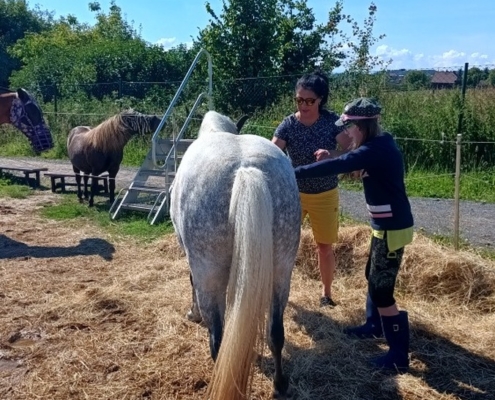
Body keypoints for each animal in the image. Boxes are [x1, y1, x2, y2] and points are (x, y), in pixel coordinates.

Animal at [170, 110, 302, 400]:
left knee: (218, 342)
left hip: (209, 275)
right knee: (276, 333)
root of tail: (246, 167)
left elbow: (190, 282)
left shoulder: (196, 266)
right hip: (282, 272)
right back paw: (280, 385)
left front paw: (192, 313)